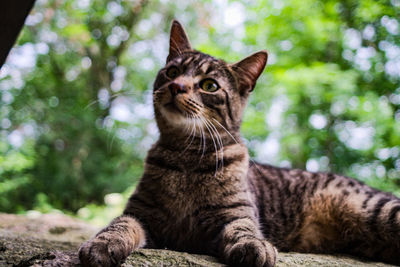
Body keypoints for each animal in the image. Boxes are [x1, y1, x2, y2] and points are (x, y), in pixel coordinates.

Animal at [78, 19, 400, 266]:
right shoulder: (139, 212)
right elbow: (119, 224)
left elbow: (244, 229)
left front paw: (253, 246)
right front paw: (102, 242)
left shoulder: (236, 213)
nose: (176, 86)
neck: (187, 157)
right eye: (172, 72)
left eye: (209, 85)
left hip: (376, 209)